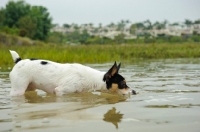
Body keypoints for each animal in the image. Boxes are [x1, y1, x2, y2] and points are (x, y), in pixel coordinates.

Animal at [8, 50, 136, 96]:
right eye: (123, 84)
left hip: (30, 88)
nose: (135, 92)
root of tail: (19, 61)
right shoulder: (60, 91)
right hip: (18, 90)